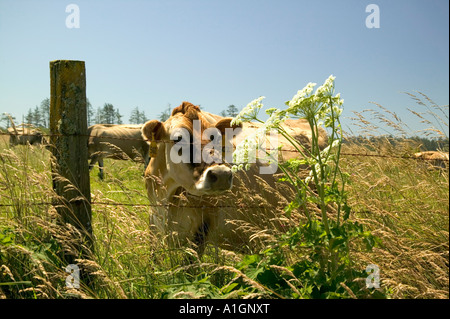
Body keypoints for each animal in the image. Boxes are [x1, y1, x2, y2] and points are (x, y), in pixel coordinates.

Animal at [141, 102, 326, 258]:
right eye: (178, 138)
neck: (165, 195)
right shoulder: (153, 226)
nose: (222, 174)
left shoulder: (200, 232)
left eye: (216, 138)